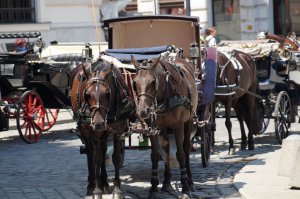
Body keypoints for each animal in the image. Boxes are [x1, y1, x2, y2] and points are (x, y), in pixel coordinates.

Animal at [70, 59, 135, 199]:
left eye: (107, 93)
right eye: (87, 94)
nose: (99, 123)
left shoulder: (117, 130)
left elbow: (115, 158)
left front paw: (117, 189)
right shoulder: (93, 131)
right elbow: (97, 159)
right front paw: (96, 190)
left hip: (104, 133)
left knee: (103, 149)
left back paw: (104, 182)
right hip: (86, 130)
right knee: (91, 153)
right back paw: (92, 184)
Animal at [131, 54, 197, 199]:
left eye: (153, 82)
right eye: (134, 83)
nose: (143, 111)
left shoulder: (178, 125)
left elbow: (180, 154)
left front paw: (185, 188)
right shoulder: (152, 127)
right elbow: (155, 155)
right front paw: (154, 187)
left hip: (189, 121)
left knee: (186, 148)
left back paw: (190, 180)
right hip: (164, 126)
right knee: (166, 147)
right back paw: (166, 181)